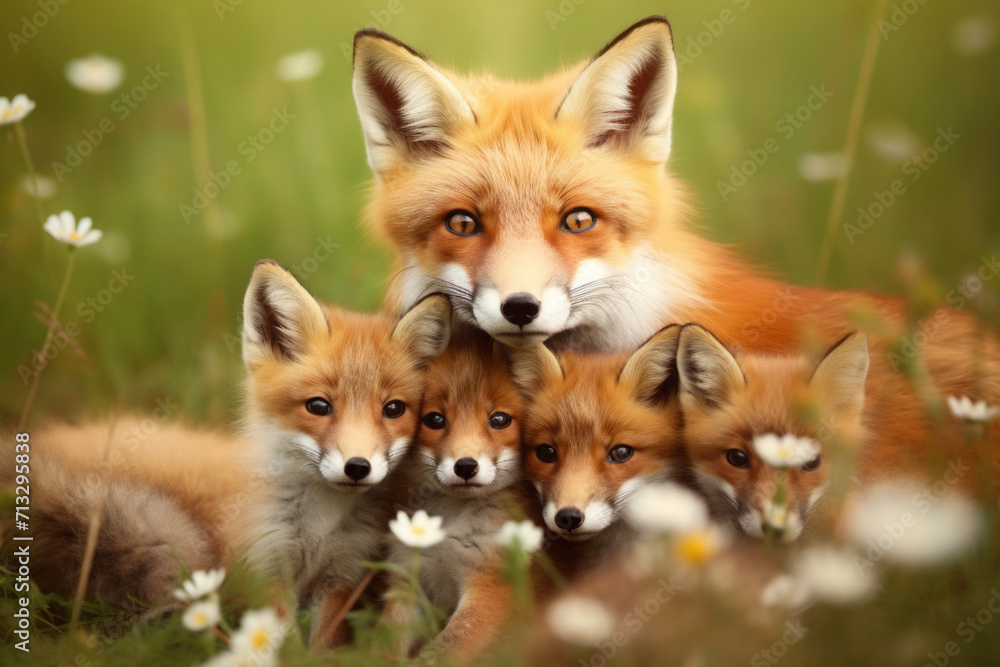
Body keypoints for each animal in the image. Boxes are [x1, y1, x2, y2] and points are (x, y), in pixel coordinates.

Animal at [237, 259, 452, 649]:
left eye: (394, 409)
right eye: (319, 406)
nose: (357, 467)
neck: (318, 529)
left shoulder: (345, 573)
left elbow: (325, 643)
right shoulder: (267, 567)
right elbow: (283, 644)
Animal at [380, 329, 531, 658]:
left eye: (499, 419)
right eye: (435, 420)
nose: (465, 466)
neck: (448, 526)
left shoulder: (491, 587)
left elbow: (444, 650)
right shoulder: (408, 577)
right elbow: (383, 644)